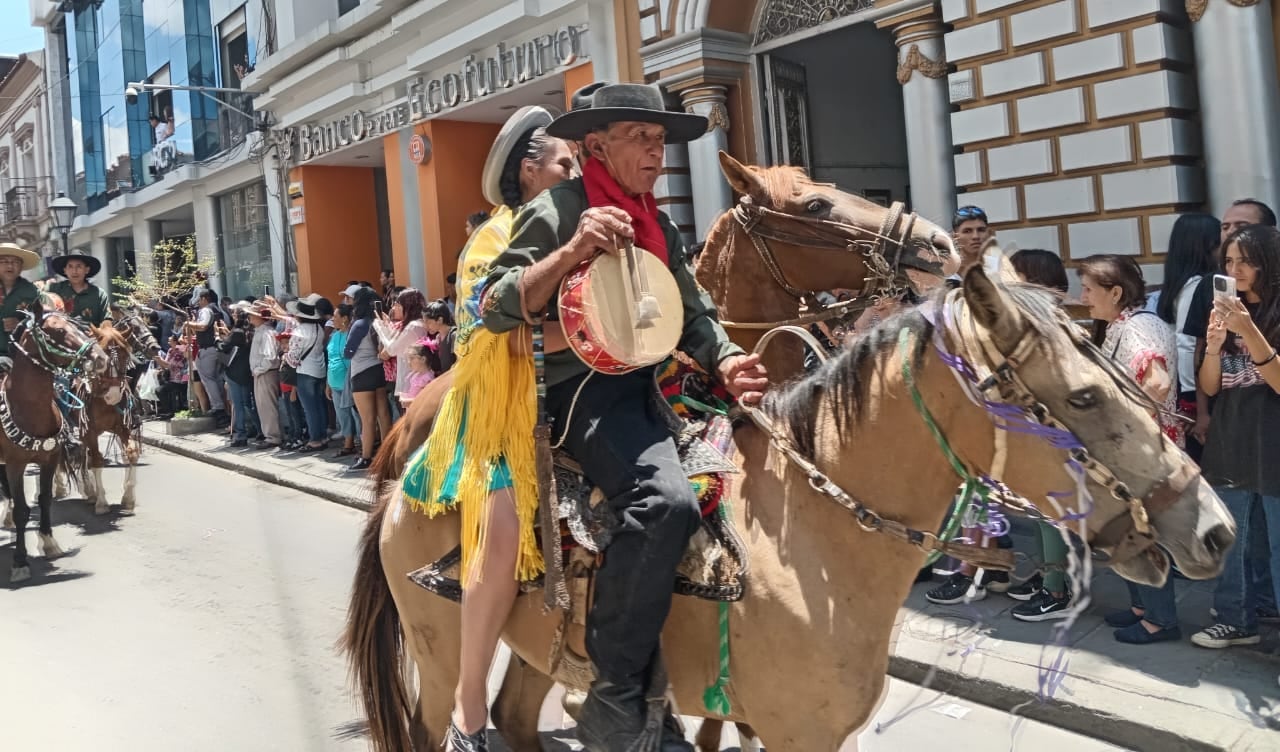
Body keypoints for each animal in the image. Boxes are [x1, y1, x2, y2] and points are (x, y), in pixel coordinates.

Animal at [0, 303, 108, 585]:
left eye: (78, 325)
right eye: (58, 331)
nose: (101, 358)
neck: (28, 407)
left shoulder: (49, 458)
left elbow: (45, 499)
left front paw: (49, 543)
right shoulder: (15, 464)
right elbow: (23, 509)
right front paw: (20, 562)